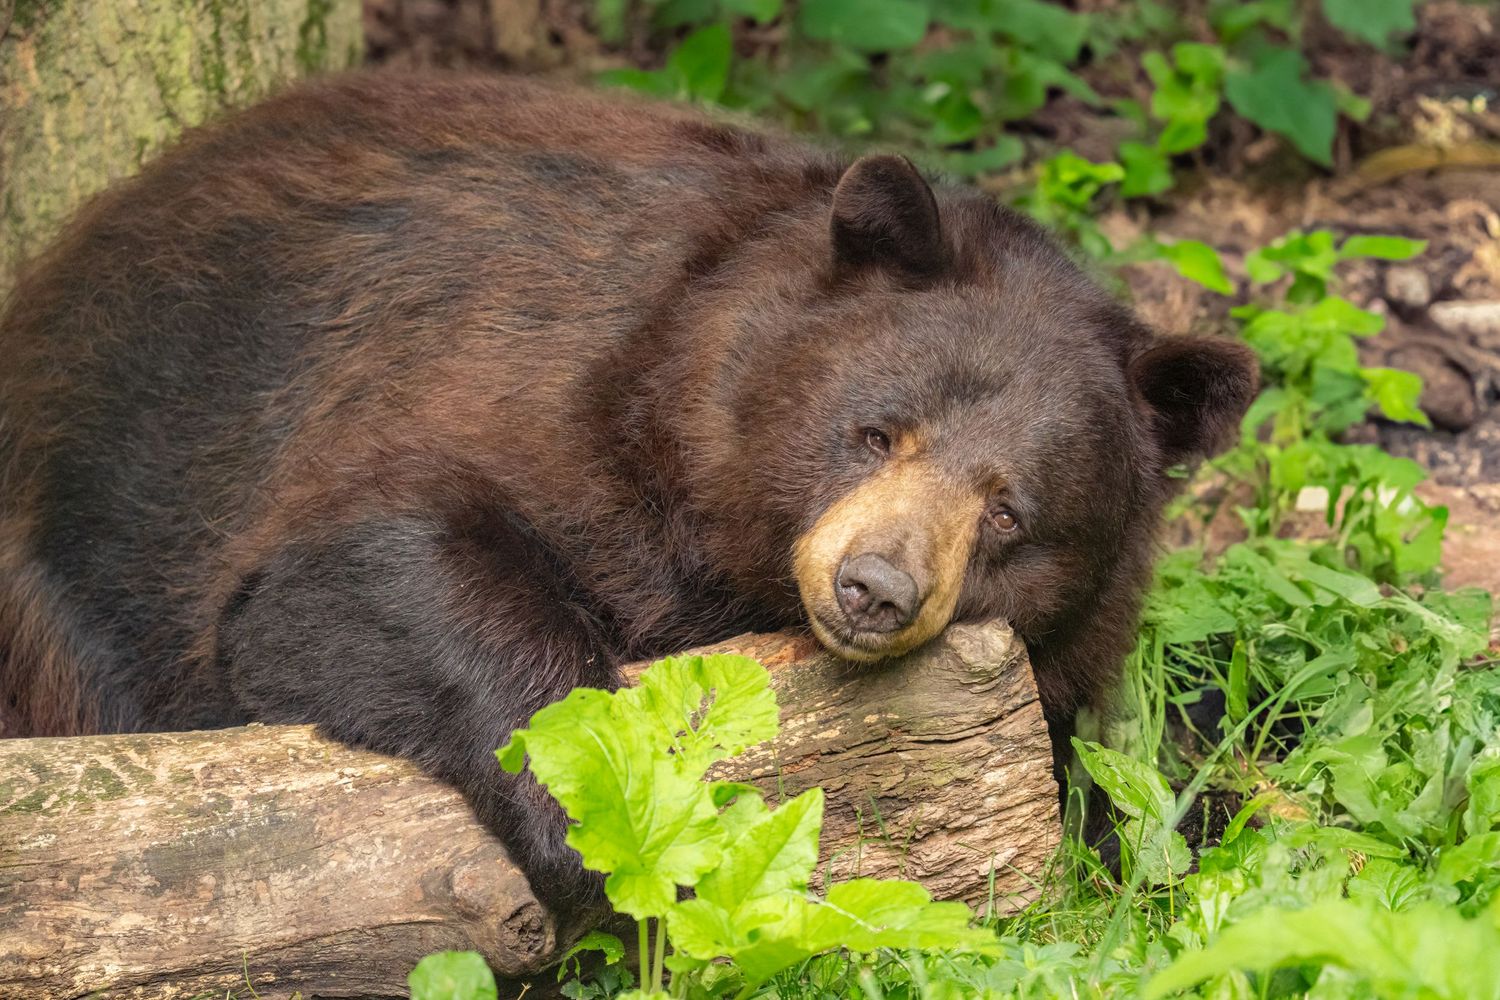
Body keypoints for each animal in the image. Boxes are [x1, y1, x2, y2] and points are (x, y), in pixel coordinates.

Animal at [0, 72, 1257, 913]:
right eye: (875, 430)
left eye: (1009, 510)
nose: (875, 588)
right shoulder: (508, 375)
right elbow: (353, 558)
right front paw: (608, 817)